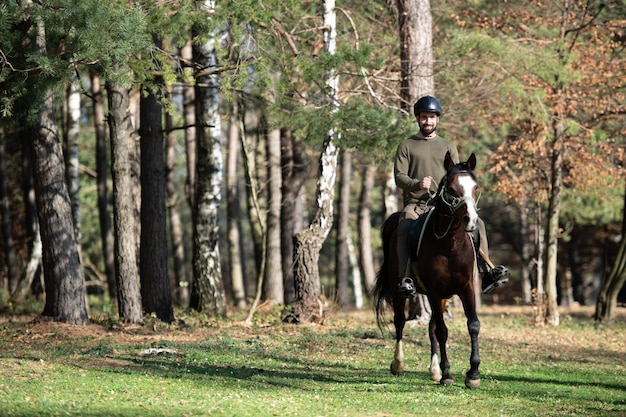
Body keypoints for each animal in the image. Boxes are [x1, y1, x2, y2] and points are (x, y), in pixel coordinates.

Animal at [372, 151, 480, 388]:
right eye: (452, 188)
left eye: (475, 187)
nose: (471, 220)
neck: (450, 245)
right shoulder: (433, 290)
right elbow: (442, 331)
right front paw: (448, 374)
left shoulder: (465, 288)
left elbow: (473, 325)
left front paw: (473, 374)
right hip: (400, 291)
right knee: (400, 322)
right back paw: (398, 364)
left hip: (442, 297)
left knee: (430, 327)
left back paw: (434, 370)